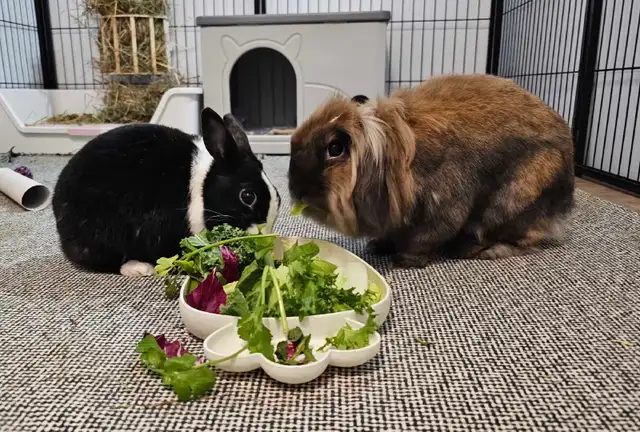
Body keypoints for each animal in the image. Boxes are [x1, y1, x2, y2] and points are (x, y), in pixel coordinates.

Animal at [52, 107, 281, 277]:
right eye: (247, 196)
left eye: (278, 194)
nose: (266, 238)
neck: (201, 189)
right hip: (105, 234)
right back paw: (140, 268)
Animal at [287, 74, 575, 268]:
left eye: (335, 148)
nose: (296, 192)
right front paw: (377, 246)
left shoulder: (444, 208)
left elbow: (426, 237)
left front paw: (404, 261)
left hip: (516, 198)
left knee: (526, 237)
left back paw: (483, 250)